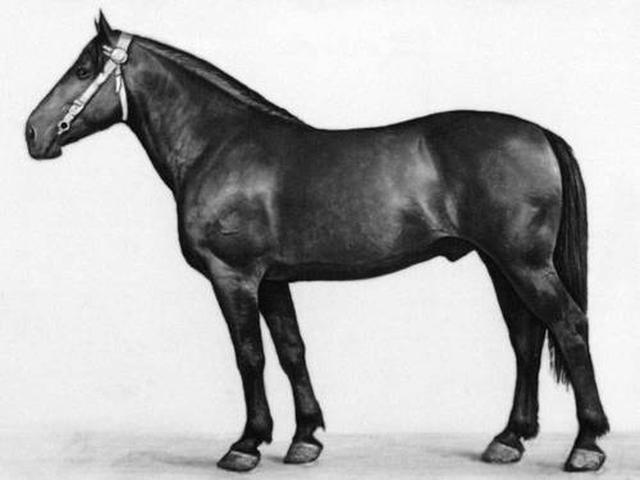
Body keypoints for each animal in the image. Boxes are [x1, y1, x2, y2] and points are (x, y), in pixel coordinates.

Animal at [26, 12, 609, 473]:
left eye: (82, 71)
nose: (32, 133)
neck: (219, 145)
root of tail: (539, 133)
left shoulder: (234, 276)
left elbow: (249, 355)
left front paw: (246, 444)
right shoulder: (272, 280)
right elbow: (291, 350)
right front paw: (305, 438)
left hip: (523, 263)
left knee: (568, 326)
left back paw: (586, 446)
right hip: (500, 263)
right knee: (526, 338)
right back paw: (509, 439)